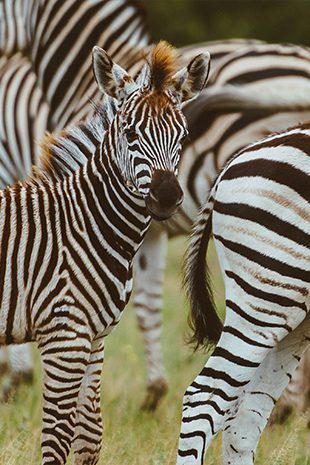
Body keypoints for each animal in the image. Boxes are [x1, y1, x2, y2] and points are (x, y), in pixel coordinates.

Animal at [0, 40, 211, 464]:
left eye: (182, 136)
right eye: (129, 134)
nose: (167, 197)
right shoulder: (65, 336)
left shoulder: (94, 338)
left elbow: (90, 435)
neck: (81, 223)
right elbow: (57, 435)